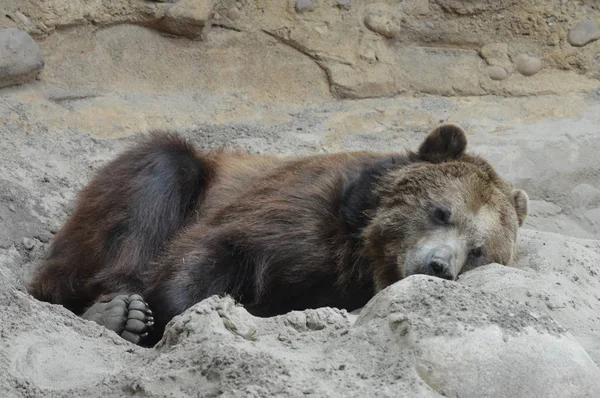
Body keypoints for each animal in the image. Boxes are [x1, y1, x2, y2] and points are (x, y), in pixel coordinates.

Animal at [28, 124, 528, 346]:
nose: (439, 266)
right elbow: (212, 249)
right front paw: (166, 314)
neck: (359, 247)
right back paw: (118, 311)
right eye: (441, 211)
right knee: (156, 179)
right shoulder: (294, 210)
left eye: (479, 250)